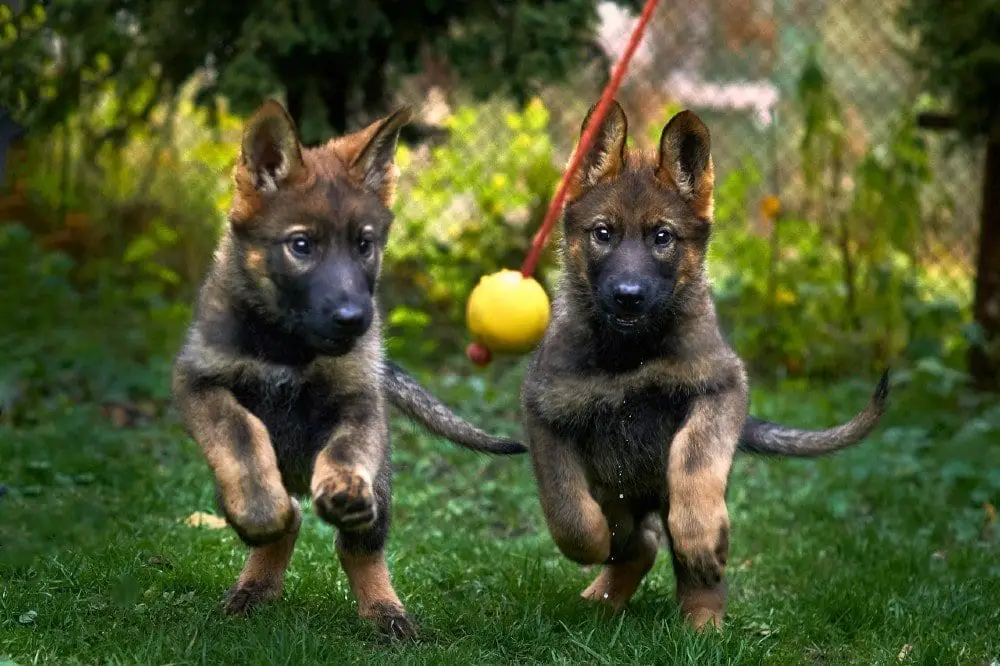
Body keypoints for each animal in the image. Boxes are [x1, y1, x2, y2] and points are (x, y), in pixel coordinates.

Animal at [173, 100, 528, 640]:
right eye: (301, 246)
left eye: (364, 245)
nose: (356, 320)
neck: (289, 346)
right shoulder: (198, 381)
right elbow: (237, 429)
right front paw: (259, 504)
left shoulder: (359, 399)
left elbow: (345, 448)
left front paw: (342, 486)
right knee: (288, 524)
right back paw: (256, 582)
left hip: (378, 490)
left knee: (360, 548)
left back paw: (384, 611)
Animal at [520, 101, 888, 632]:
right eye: (603, 234)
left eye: (662, 237)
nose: (628, 297)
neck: (631, 353)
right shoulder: (545, 410)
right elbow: (570, 512)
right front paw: (597, 535)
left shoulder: (721, 386)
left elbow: (693, 458)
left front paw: (701, 538)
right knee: (637, 539)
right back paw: (606, 592)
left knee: (683, 555)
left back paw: (703, 621)